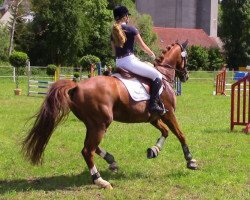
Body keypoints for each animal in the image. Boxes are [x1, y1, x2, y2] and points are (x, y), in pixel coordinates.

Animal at [22, 41, 197, 189]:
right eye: (186, 57)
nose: (186, 76)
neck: (163, 76)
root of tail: (76, 86)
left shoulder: (154, 118)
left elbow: (165, 132)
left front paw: (154, 150)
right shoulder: (168, 114)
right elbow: (180, 134)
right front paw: (190, 161)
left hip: (93, 123)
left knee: (91, 146)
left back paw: (111, 161)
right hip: (101, 124)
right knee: (87, 150)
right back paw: (100, 180)